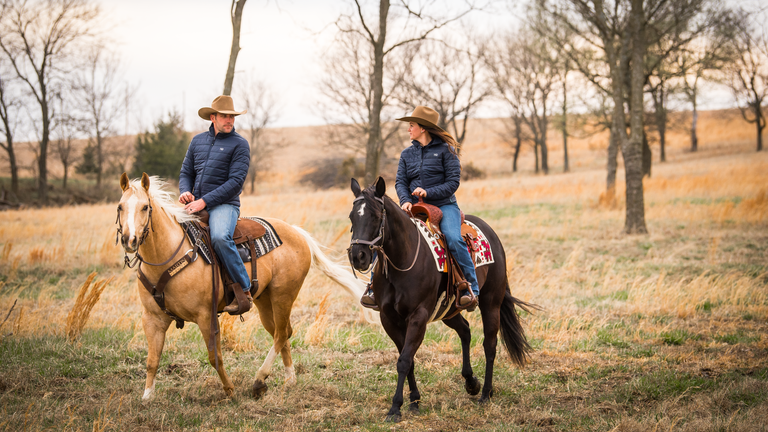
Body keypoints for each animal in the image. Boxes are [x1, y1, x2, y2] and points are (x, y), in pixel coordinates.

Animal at [117, 173, 368, 400]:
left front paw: (229, 390)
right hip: (264, 301)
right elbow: (152, 360)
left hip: (283, 295)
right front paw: (147, 397)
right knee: (283, 333)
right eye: (120, 207)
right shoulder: (152, 319)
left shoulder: (206, 317)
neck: (170, 256)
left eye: (145, 207)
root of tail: (296, 232)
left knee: (280, 334)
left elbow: (214, 357)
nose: (130, 240)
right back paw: (289, 380)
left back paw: (259, 379)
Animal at [347, 177, 535, 422]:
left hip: (490, 304)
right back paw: (471, 383)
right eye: (352, 217)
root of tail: (490, 232)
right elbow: (408, 359)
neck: (402, 259)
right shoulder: (389, 319)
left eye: (376, 216)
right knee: (465, 330)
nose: (357, 256)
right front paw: (414, 401)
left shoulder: (418, 316)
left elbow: (404, 360)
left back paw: (486, 393)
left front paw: (395, 407)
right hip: (448, 310)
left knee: (490, 345)